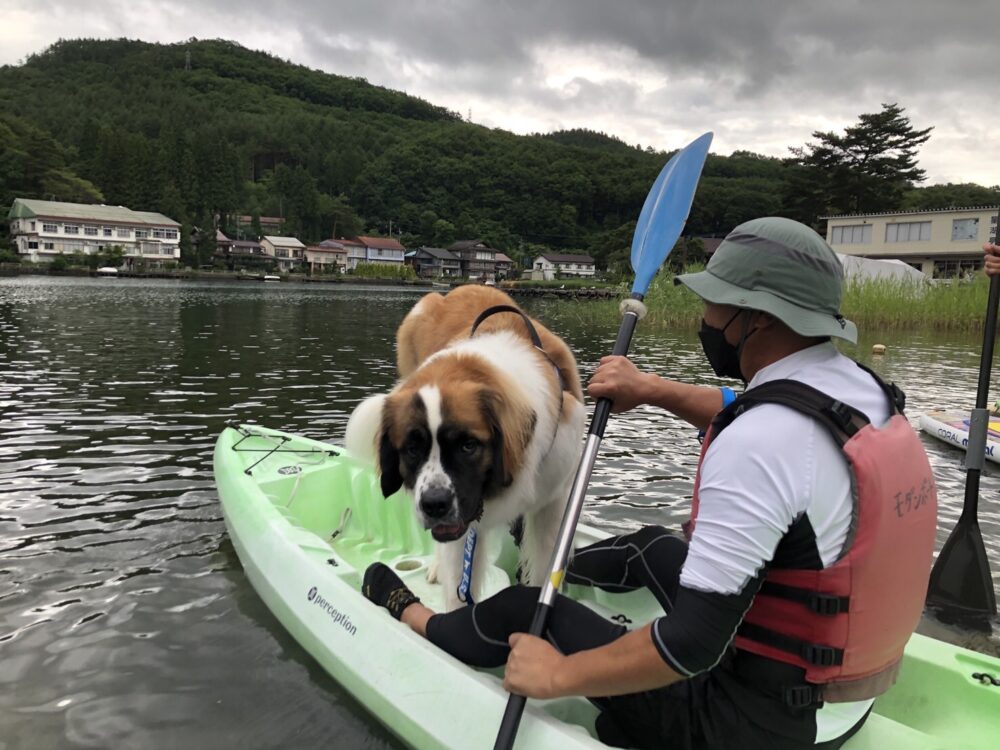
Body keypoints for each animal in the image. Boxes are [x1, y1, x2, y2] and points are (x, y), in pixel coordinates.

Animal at [346, 286, 584, 612]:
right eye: (412, 449)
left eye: (468, 446)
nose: (434, 504)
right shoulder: (463, 527)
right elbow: (458, 580)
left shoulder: (553, 500)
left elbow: (545, 568)